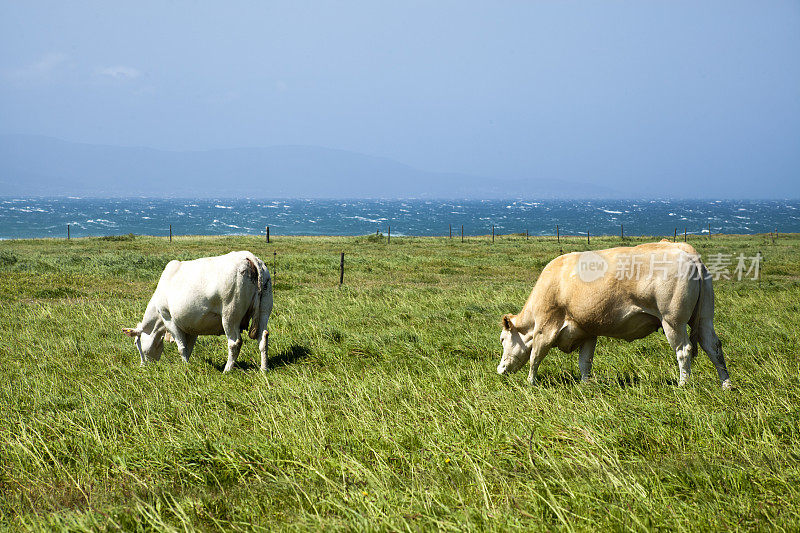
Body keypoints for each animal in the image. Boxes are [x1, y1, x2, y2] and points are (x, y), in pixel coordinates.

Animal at [123, 249, 274, 370]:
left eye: (137, 342)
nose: (142, 366)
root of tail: (248, 256)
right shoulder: (191, 326)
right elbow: (188, 347)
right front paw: (187, 364)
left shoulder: (169, 319)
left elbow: (181, 347)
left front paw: (185, 367)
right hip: (264, 310)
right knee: (263, 337)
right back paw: (264, 368)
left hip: (230, 315)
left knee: (234, 343)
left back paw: (227, 370)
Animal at [496, 240, 736, 386]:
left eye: (502, 339)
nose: (500, 370)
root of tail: (684, 249)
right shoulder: (587, 331)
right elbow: (585, 362)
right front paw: (585, 385)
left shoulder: (545, 329)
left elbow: (535, 358)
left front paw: (531, 383)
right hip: (704, 318)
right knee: (713, 346)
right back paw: (726, 385)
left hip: (673, 320)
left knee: (684, 350)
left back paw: (682, 384)